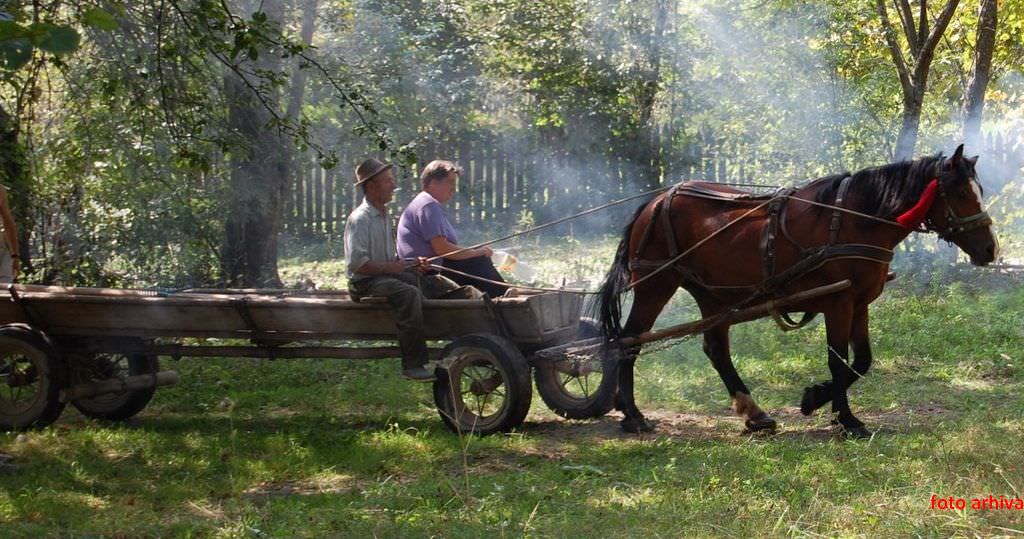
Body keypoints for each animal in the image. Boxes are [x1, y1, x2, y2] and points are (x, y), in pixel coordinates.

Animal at [598, 144, 995, 438]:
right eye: (962, 192)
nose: (991, 250)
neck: (855, 220)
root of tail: (654, 203)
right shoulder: (839, 303)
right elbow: (838, 361)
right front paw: (841, 416)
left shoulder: (859, 303)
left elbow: (862, 361)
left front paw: (822, 402)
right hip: (656, 285)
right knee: (629, 341)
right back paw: (633, 416)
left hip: (713, 294)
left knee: (716, 349)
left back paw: (754, 413)